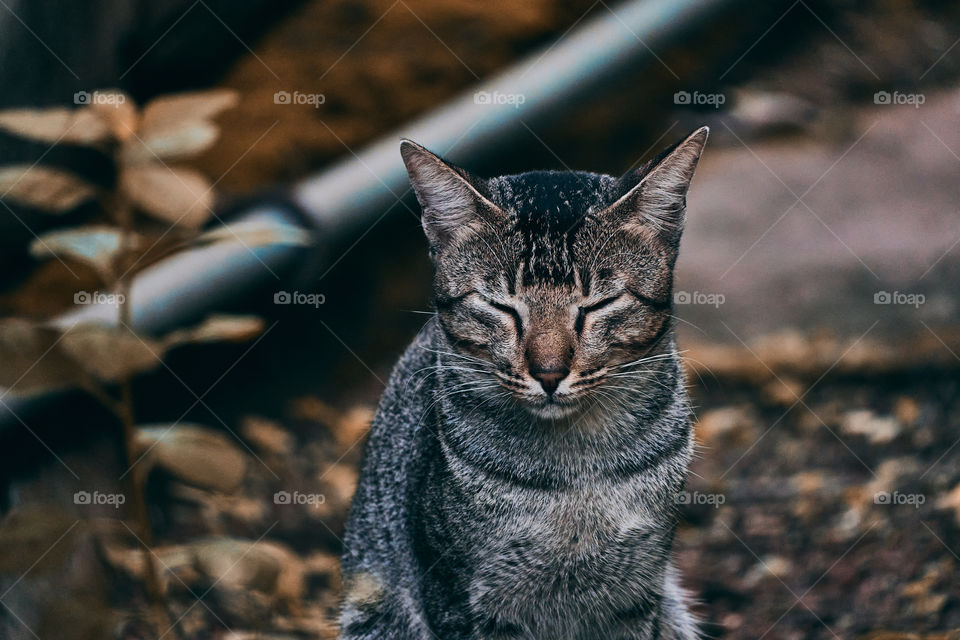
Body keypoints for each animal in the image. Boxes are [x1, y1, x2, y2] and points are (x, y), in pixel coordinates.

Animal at [338, 126, 704, 640]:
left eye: (599, 304)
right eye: (499, 306)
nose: (548, 372)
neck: (578, 471)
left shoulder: (638, 593)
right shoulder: (458, 595)